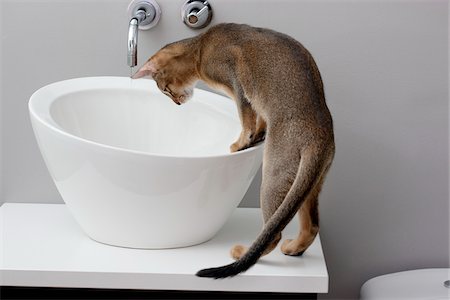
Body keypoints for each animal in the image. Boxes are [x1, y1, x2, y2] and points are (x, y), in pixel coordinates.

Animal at [132, 22, 336, 278]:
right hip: (311, 181)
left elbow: (246, 118)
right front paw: (258, 134)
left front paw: (241, 142)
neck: (201, 47)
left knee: (273, 233)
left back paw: (243, 252)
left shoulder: (236, 80)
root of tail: (320, 132)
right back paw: (294, 248)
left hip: (275, 174)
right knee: (312, 225)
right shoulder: (252, 96)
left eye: (165, 89)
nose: (177, 103)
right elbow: (258, 117)